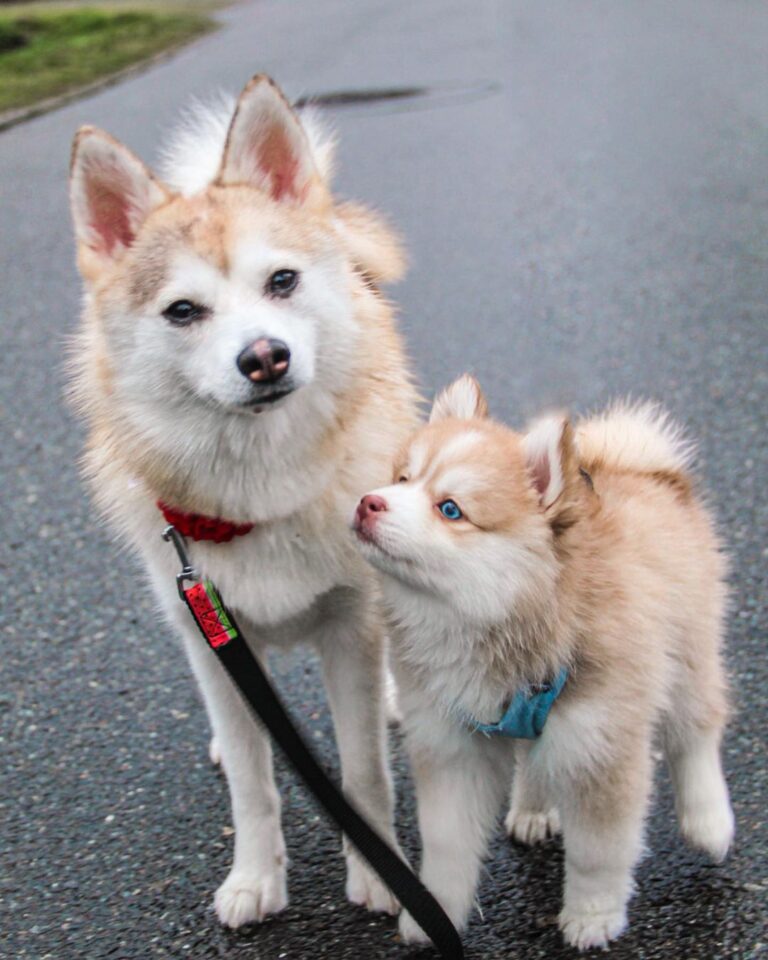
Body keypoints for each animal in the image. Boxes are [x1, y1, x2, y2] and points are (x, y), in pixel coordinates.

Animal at [352, 374, 736, 944]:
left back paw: (709, 820)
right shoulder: (452, 747)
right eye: (402, 478)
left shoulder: (603, 746)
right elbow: (447, 848)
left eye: (450, 508)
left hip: (687, 654)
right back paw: (534, 807)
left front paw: (593, 916)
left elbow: (598, 851)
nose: (368, 501)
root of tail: (640, 466)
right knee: (536, 760)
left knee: (696, 733)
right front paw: (434, 913)